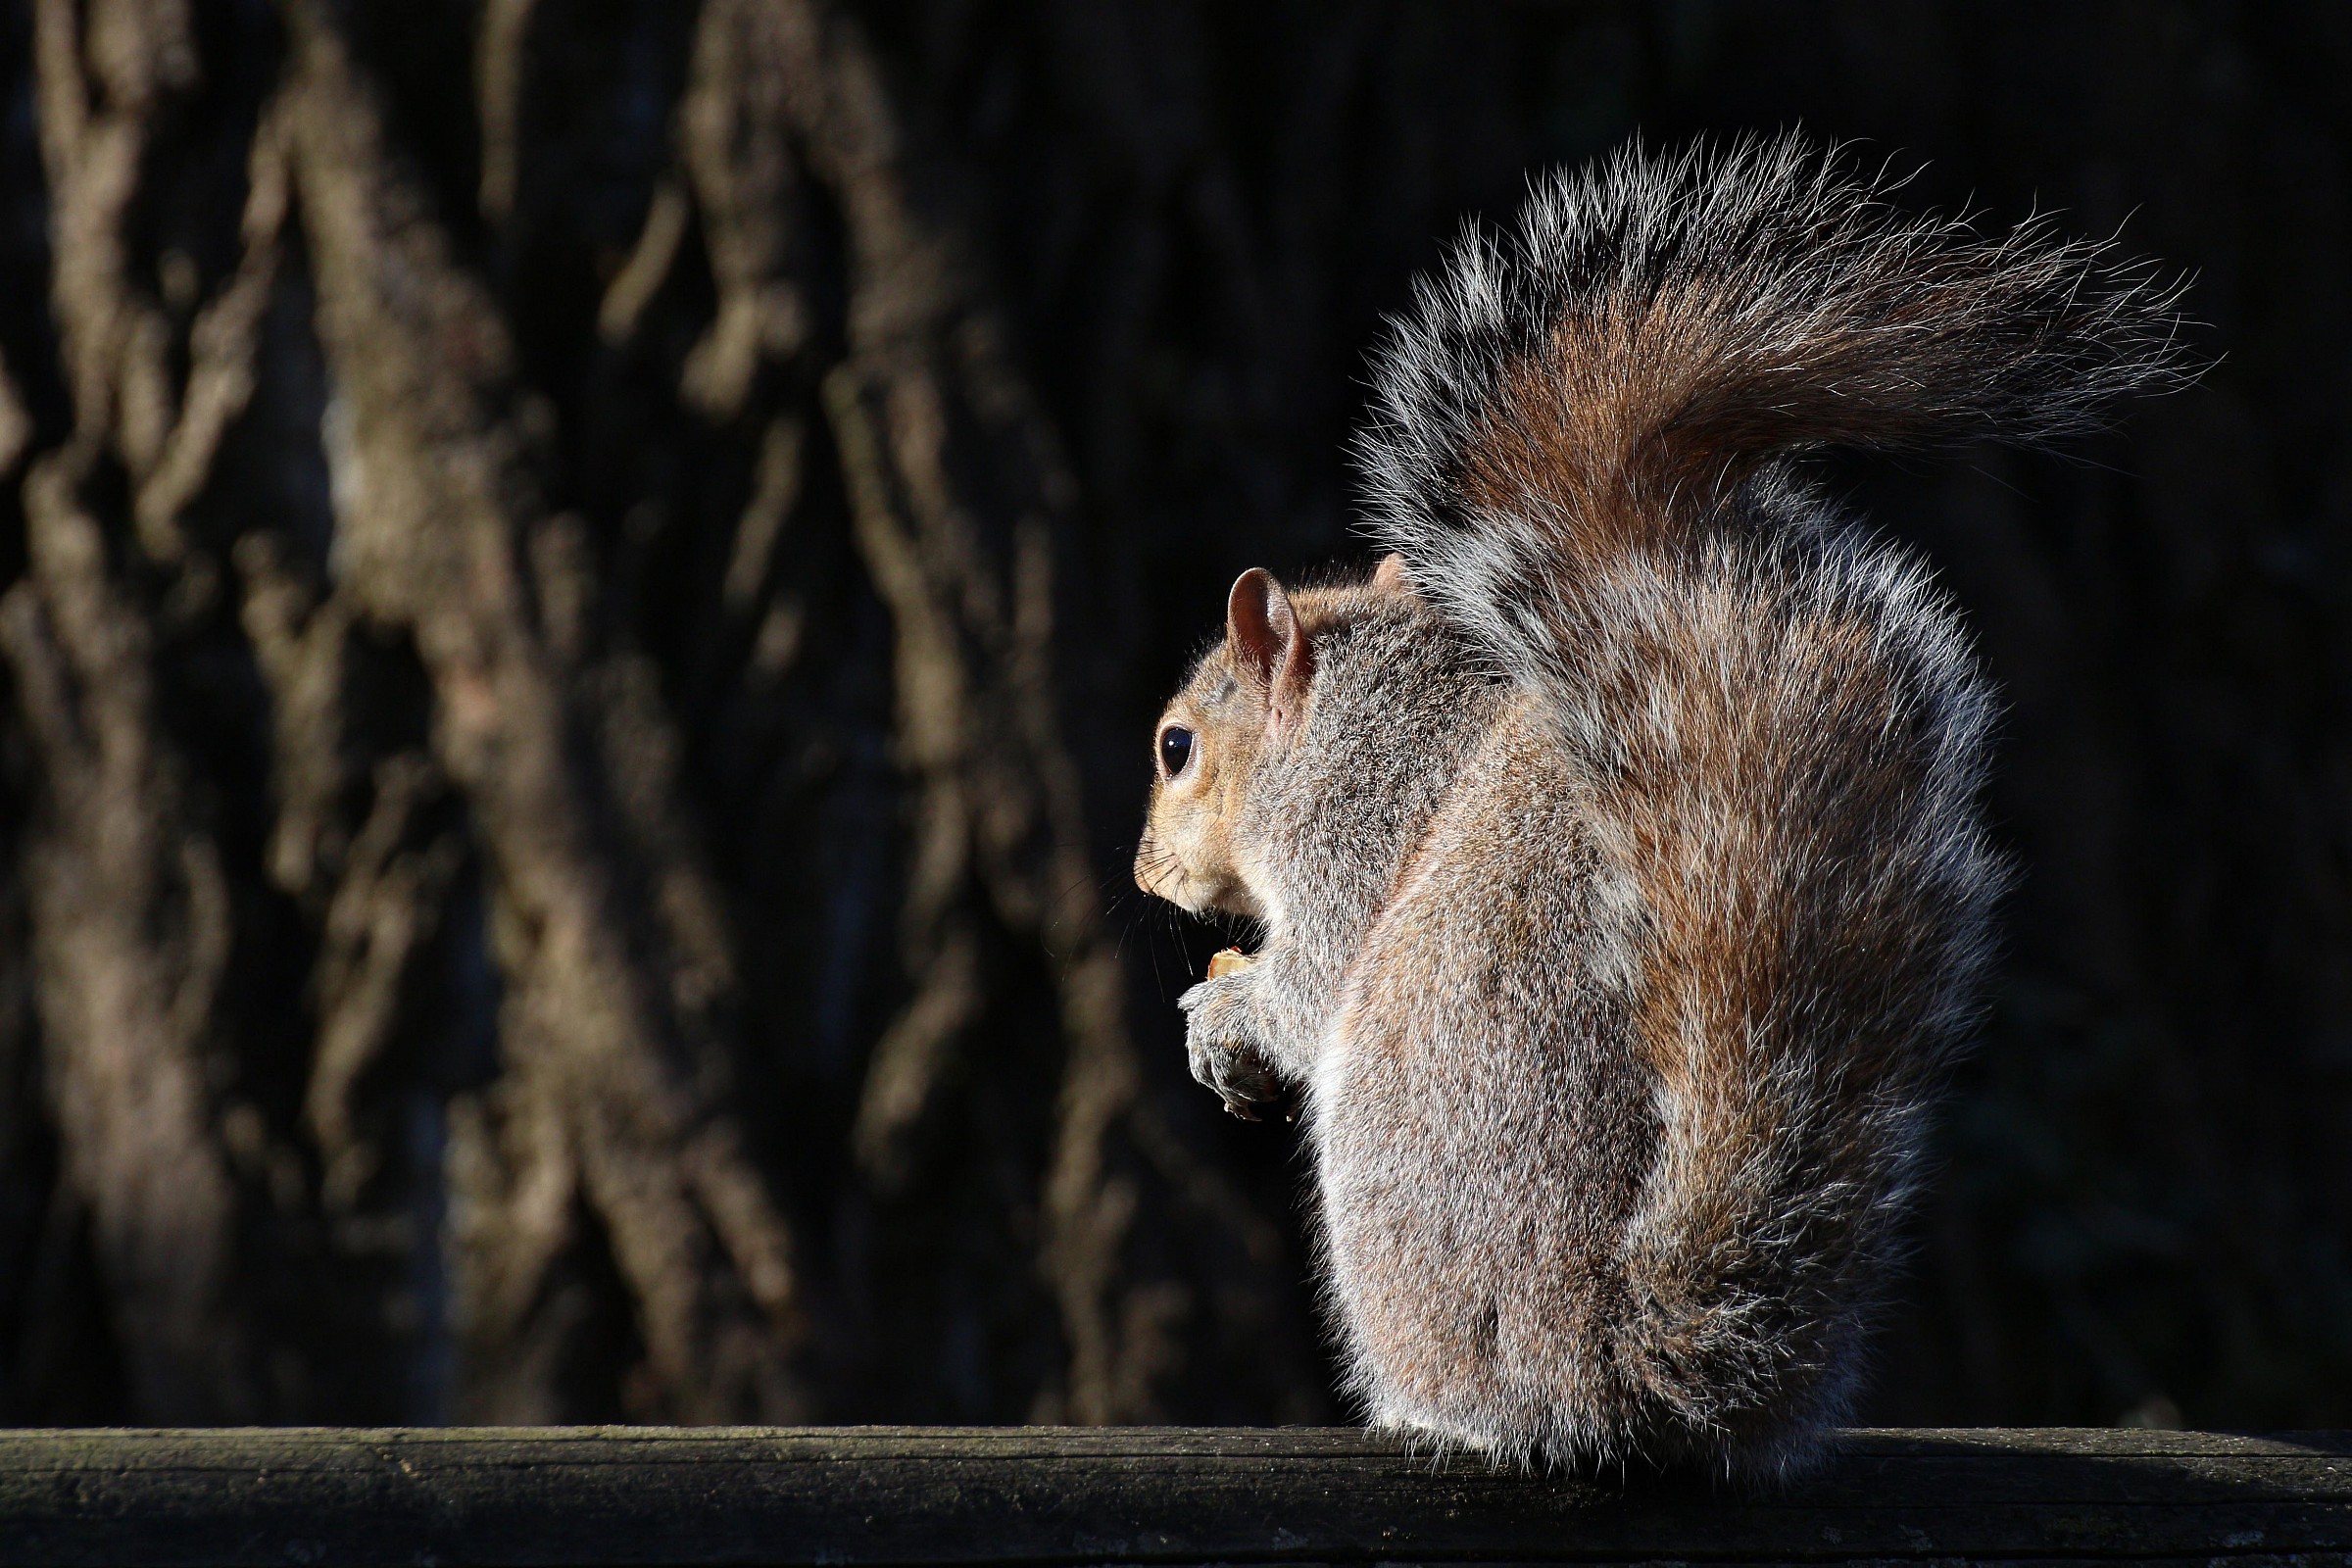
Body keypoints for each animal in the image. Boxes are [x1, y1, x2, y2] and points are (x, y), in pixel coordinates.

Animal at [1132, 138, 2185, 1479]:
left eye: (1177, 747)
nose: (1145, 874)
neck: (1354, 709)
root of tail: (1623, 1359)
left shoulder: (1350, 823)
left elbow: (1311, 980)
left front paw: (1226, 1009)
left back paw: (1434, 1406)